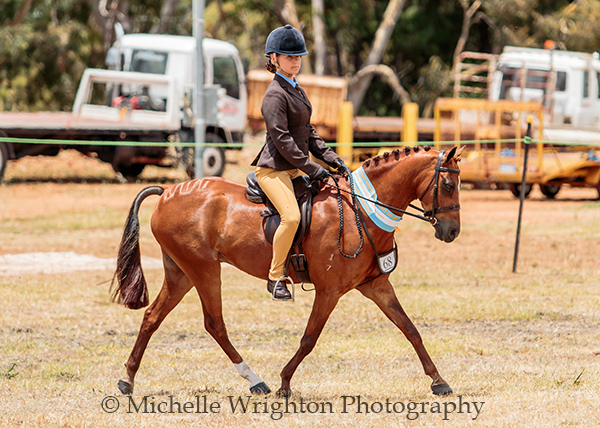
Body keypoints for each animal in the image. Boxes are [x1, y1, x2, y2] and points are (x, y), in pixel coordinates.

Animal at [112, 145, 464, 398]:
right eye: (448, 184)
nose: (452, 232)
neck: (360, 211)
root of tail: (167, 192)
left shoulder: (376, 286)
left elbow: (410, 329)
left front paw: (439, 381)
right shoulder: (329, 291)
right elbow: (309, 338)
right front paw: (284, 383)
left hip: (181, 273)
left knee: (152, 317)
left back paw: (127, 379)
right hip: (204, 269)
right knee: (214, 324)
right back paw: (256, 380)